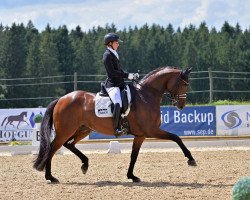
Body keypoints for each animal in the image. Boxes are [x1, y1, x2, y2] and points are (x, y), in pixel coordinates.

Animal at [33, 67, 197, 183]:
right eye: (183, 84)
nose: (181, 106)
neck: (146, 96)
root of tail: (61, 99)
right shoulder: (151, 130)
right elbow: (176, 138)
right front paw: (191, 159)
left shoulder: (141, 135)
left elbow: (134, 156)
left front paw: (132, 176)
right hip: (65, 131)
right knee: (52, 148)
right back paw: (50, 177)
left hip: (83, 129)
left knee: (69, 144)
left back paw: (85, 164)